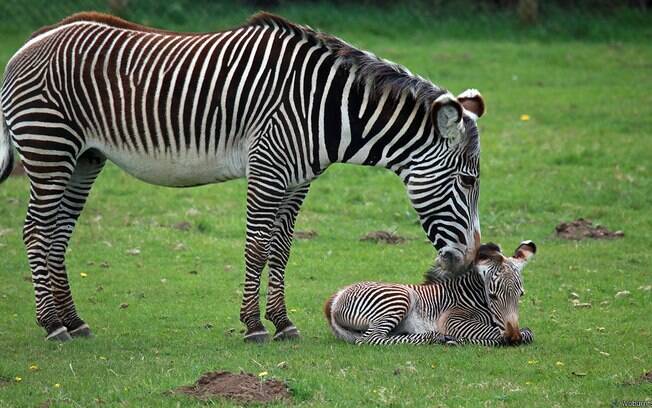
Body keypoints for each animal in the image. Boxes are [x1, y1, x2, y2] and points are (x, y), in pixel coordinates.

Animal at [0, 11, 486, 342]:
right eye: (467, 182)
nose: (468, 262)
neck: (329, 110)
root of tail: (36, 37)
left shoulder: (298, 180)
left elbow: (282, 249)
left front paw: (283, 322)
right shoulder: (267, 167)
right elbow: (256, 246)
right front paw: (254, 325)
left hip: (85, 157)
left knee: (58, 233)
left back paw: (73, 321)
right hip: (49, 147)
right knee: (36, 231)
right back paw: (51, 325)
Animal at [324, 241, 536, 346]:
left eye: (520, 295)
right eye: (492, 295)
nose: (513, 338)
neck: (472, 296)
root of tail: (336, 298)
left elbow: (528, 332)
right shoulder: (452, 320)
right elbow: (503, 332)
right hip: (400, 298)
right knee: (370, 339)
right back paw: (437, 337)